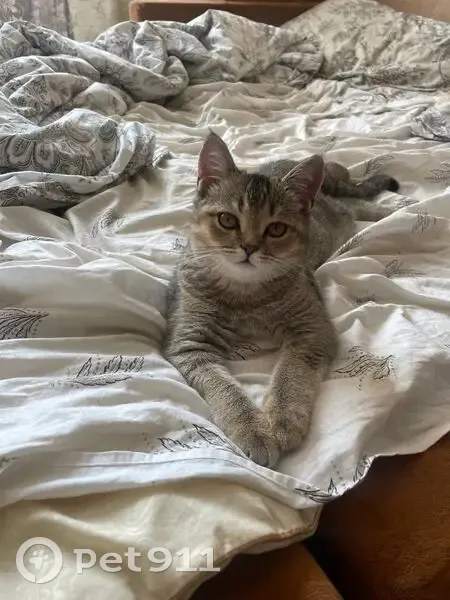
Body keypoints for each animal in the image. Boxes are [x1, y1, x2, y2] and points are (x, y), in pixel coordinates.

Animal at [163, 132, 399, 467]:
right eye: (227, 220)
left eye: (276, 229)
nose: (249, 247)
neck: (245, 294)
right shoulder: (190, 344)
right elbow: (226, 392)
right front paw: (253, 430)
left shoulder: (313, 330)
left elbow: (291, 375)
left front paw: (283, 420)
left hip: (337, 215)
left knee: (352, 204)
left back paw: (397, 209)